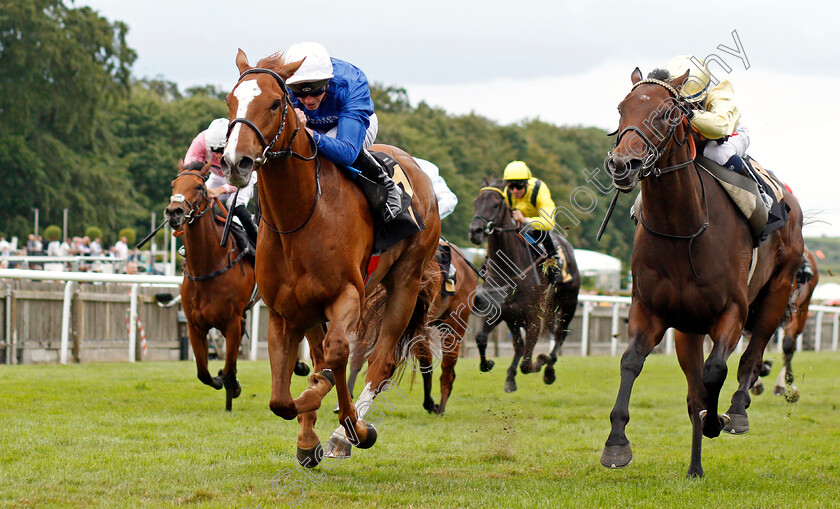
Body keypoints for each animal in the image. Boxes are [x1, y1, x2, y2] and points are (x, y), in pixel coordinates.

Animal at [163, 161, 256, 410]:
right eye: (174, 184)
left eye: (198, 186)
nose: (174, 211)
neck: (207, 266)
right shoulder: (195, 325)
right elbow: (203, 373)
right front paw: (222, 380)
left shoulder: (231, 324)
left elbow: (228, 369)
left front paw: (230, 384)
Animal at [220, 49, 442, 466]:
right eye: (230, 101)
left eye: (275, 103)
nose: (235, 162)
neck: (299, 217)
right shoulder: (284, 311)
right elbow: (281, 398)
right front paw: (308, 437)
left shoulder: (348, 293)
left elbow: (336, 355)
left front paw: (351, 425)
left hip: (406, 279)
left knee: (379, 360)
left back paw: (346, 433)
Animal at [466, 181, 576, 390]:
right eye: (475, 202)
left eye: (495, 205)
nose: (475, 231)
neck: (508, 270)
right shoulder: (498, 311)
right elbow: (481, 337)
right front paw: (488, 363)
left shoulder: (534, 318)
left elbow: (527, 364)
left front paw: (541, 360)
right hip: (514, 319)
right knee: (519, 346)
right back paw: (510, 377)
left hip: (568, 304)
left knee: (559, 337)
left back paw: (549, 370)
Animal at [600, 67, 804, 476]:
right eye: (621, 108)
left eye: (667, 113)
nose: (621, 165)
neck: (684, 231)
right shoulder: (650, 311)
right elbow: (632, 363)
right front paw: (616, 443)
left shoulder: (732, 312)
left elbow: (716, 371)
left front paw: (718, 420)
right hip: (688, 328)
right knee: (695, 392)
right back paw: (695, 469)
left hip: (776, 293)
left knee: (752, 354)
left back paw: (737, 411)